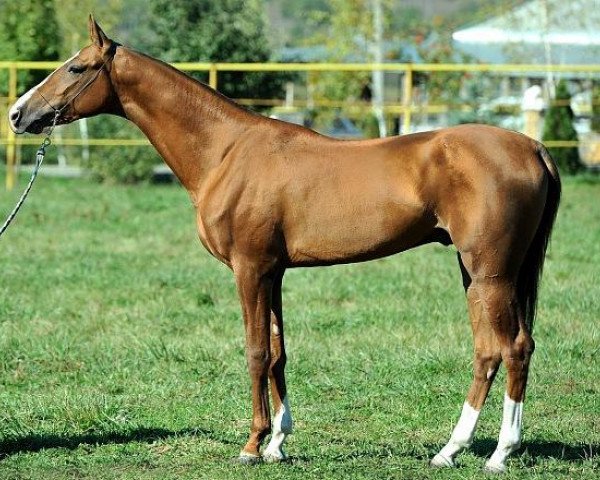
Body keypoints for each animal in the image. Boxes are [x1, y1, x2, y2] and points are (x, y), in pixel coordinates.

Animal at [9, 16, 560, 470]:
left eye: (77, 67)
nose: (18, 114)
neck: (226, 151)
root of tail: (532, 146)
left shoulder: (249, 269)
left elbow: (255, 351)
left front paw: (252, 446)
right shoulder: (273, 272)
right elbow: (278, 353)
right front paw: (277, 442)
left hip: (491, 273)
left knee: (514, 348)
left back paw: (500, 454)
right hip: (477, 273)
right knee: (487, 352)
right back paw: (450, 450)